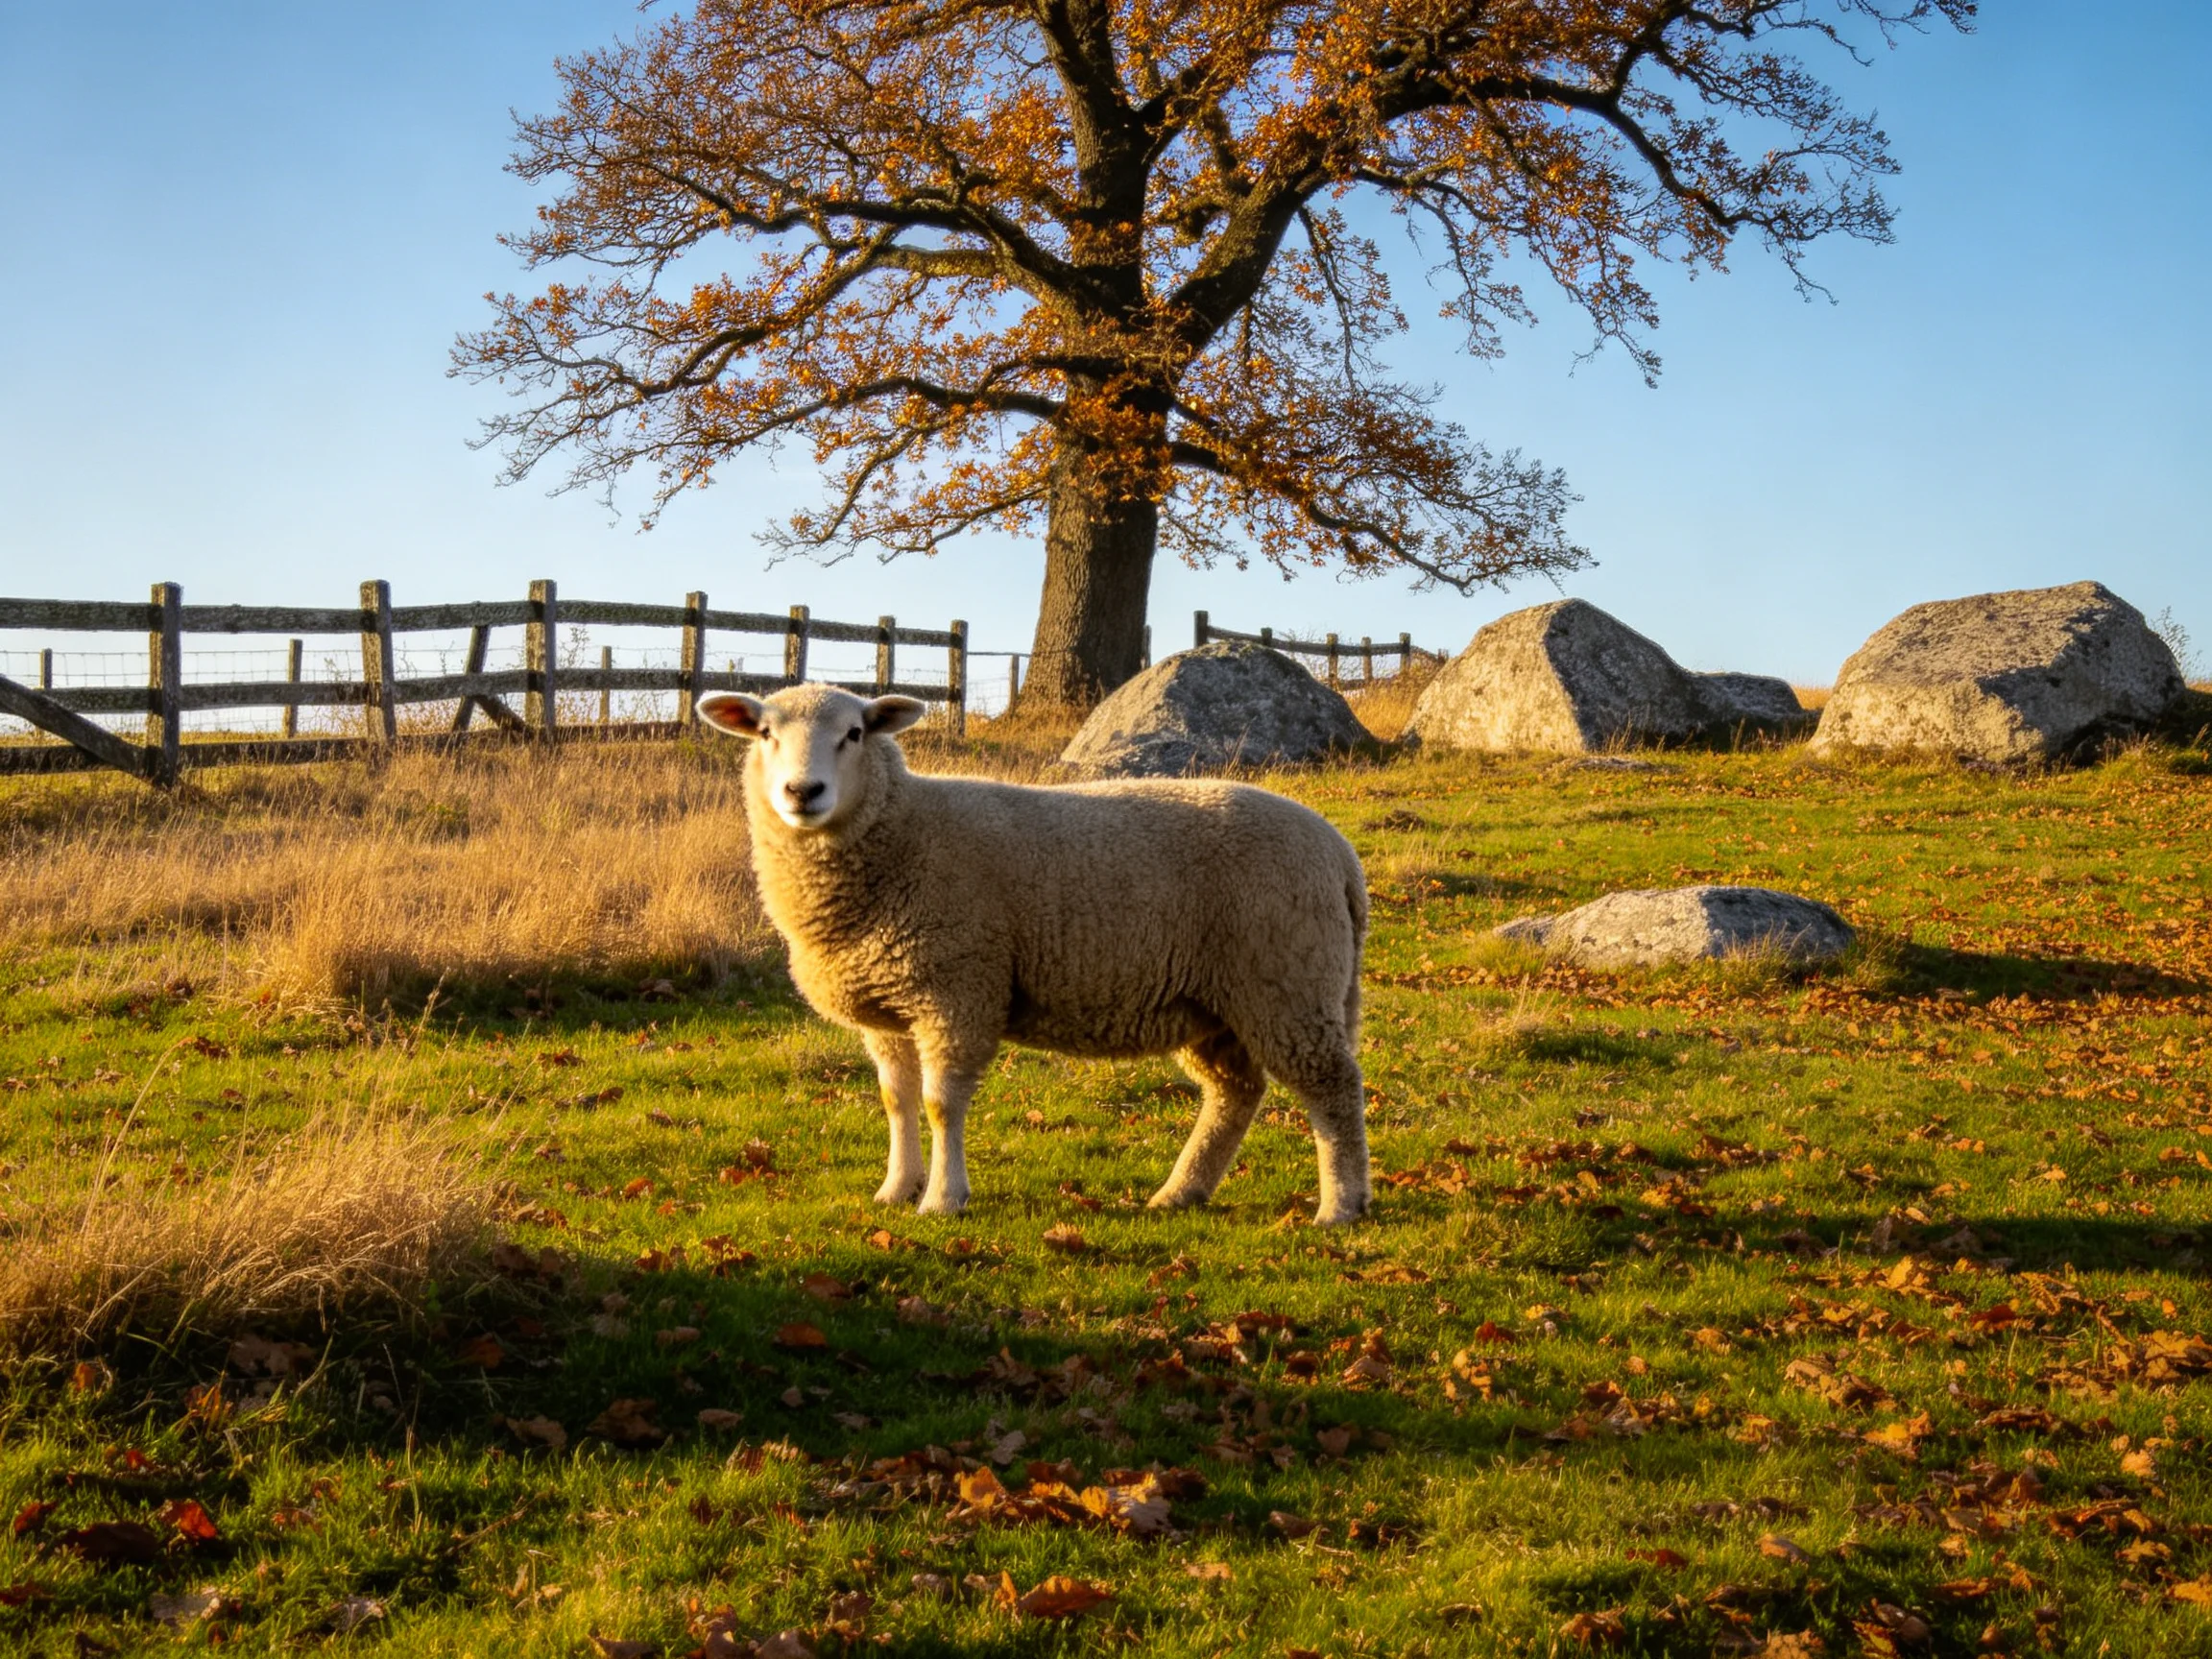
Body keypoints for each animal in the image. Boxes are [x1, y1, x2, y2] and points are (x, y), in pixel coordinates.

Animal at [696, 683, 1372, 1224]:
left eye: (855, 733)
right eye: (764, 733)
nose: (801, 791)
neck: (902, 832)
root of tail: (1338, 853)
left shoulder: (957, 989)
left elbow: (940, 1105)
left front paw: (943, 1199)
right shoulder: (889, 1007)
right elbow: (897, 1101)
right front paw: (896, 1188)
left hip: (1287, 979)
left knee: (1333, 1089)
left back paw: (1341, 1206)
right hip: (1218, 1001)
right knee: (1235, 1093)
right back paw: (1181, 1192)